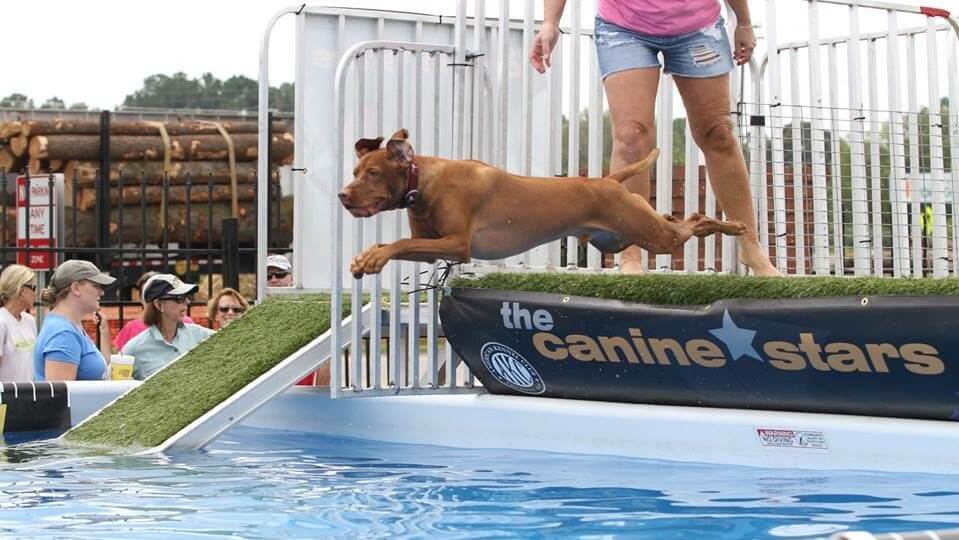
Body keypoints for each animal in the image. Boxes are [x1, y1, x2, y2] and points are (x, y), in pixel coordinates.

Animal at [342, 127, 748, 278]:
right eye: (355, 170)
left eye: (373, 173)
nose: (342, 196)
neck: (423, 182)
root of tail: (607, 180)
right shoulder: (430, 245)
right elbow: (400, 242)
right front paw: (367, 257)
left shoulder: (458, 244)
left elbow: (398, 241)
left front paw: (373, 258)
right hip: (620, 237)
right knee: (673, 219)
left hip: (654, 236)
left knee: (694, 220)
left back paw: (735, 225)